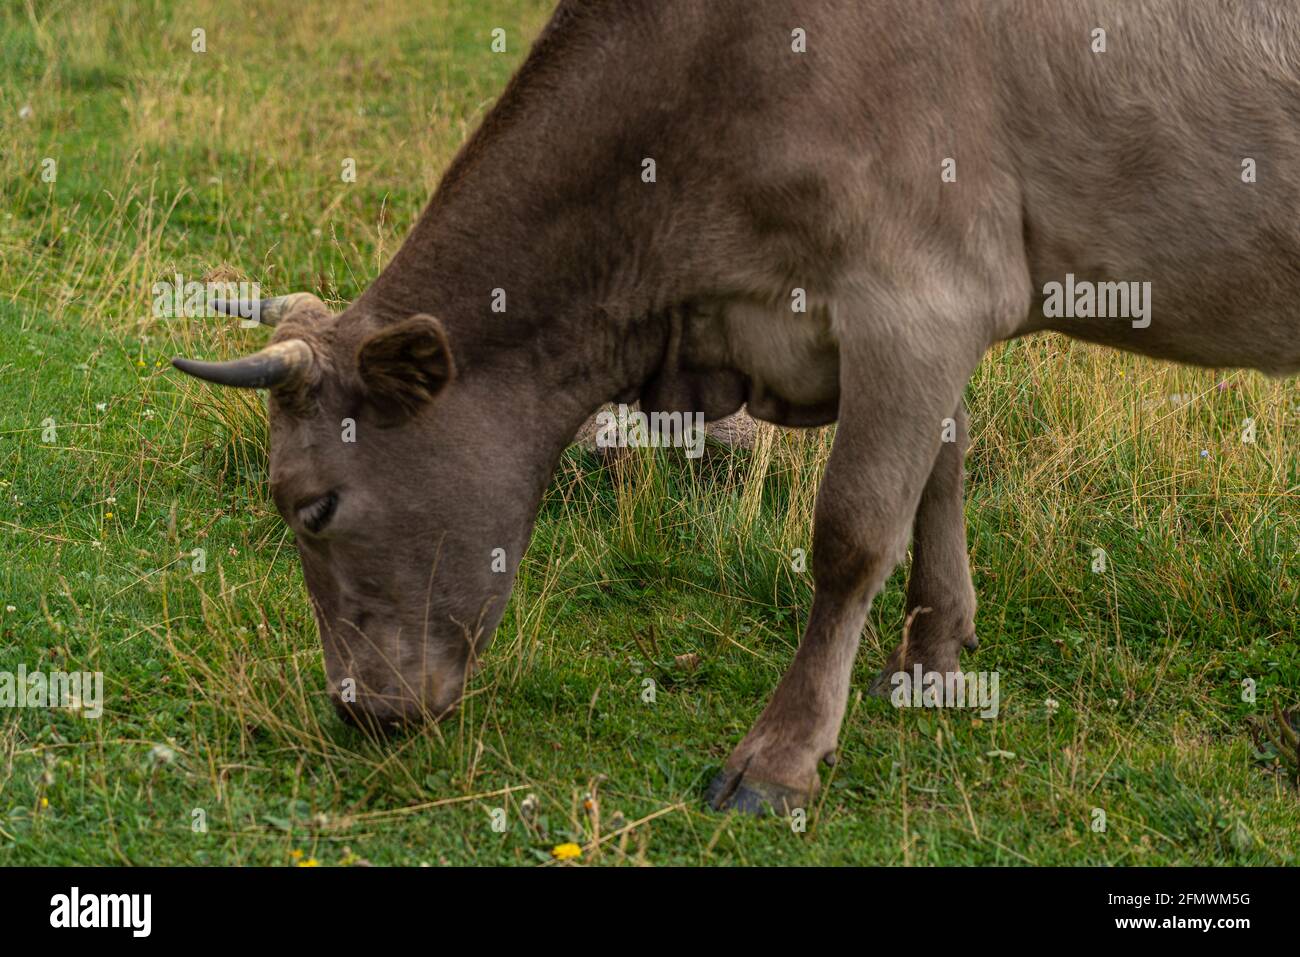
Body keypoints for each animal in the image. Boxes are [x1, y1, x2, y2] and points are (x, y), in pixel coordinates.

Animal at [173, 0, 1300, 814]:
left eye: (312, 506)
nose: (359, 713)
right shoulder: (924, 316)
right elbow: (941, 465)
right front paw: (934, 659)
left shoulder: (916, 293)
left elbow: (852, 532)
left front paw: (779, 759)